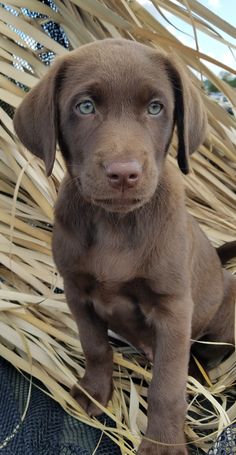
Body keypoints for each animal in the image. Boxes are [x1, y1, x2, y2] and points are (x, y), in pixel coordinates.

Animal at [13, 40, 235, 455]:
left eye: (156, 107)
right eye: (85, 106)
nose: (123, 174)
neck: (115, 225)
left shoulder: (173, 308)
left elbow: (167, 385)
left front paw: (162, 444)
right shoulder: (76, 290)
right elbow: (95, 346)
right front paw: (94, 393)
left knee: (207, 355)